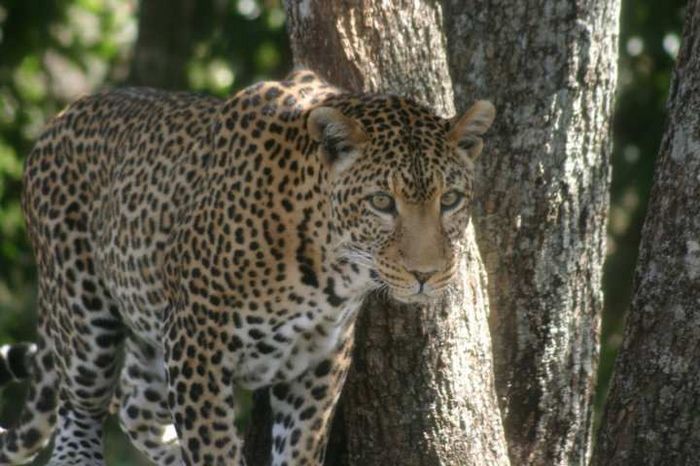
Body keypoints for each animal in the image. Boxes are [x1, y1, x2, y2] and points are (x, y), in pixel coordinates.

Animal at [0, 69, 495, 465]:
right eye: (381, 202)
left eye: (450, 199)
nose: (425, 274)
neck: (326, 267)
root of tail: (63, 115)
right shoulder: (196, 343)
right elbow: (215, 451)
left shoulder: (320, 361)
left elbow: (298, 450)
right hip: (82, 312)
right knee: (79, 410)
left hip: (147, 324)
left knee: (134, 404)